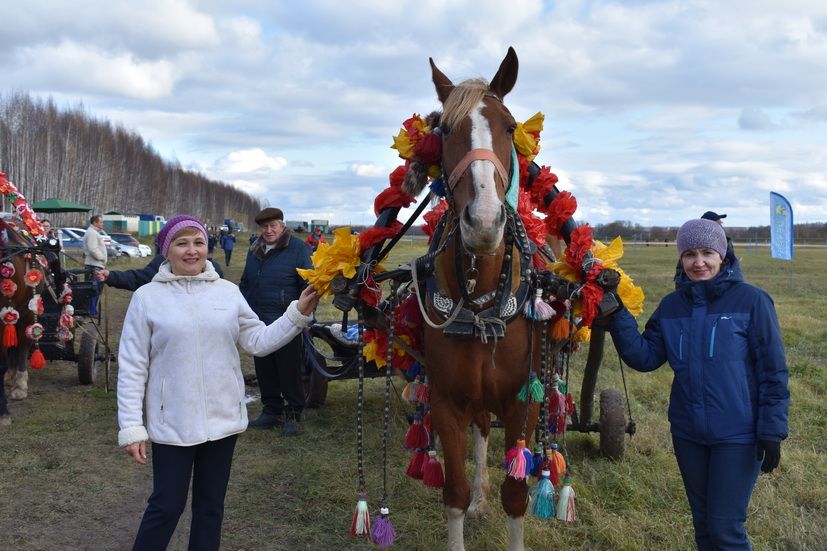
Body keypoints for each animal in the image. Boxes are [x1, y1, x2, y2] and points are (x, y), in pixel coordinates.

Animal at [420, 48, 556, 551]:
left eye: (511, 126)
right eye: (443, 129)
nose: (481, 221)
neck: (481, 301)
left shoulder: (524, 403)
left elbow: (516, 497)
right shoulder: (446, 402)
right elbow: (454, 493)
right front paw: (470, 499)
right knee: (480, 431)